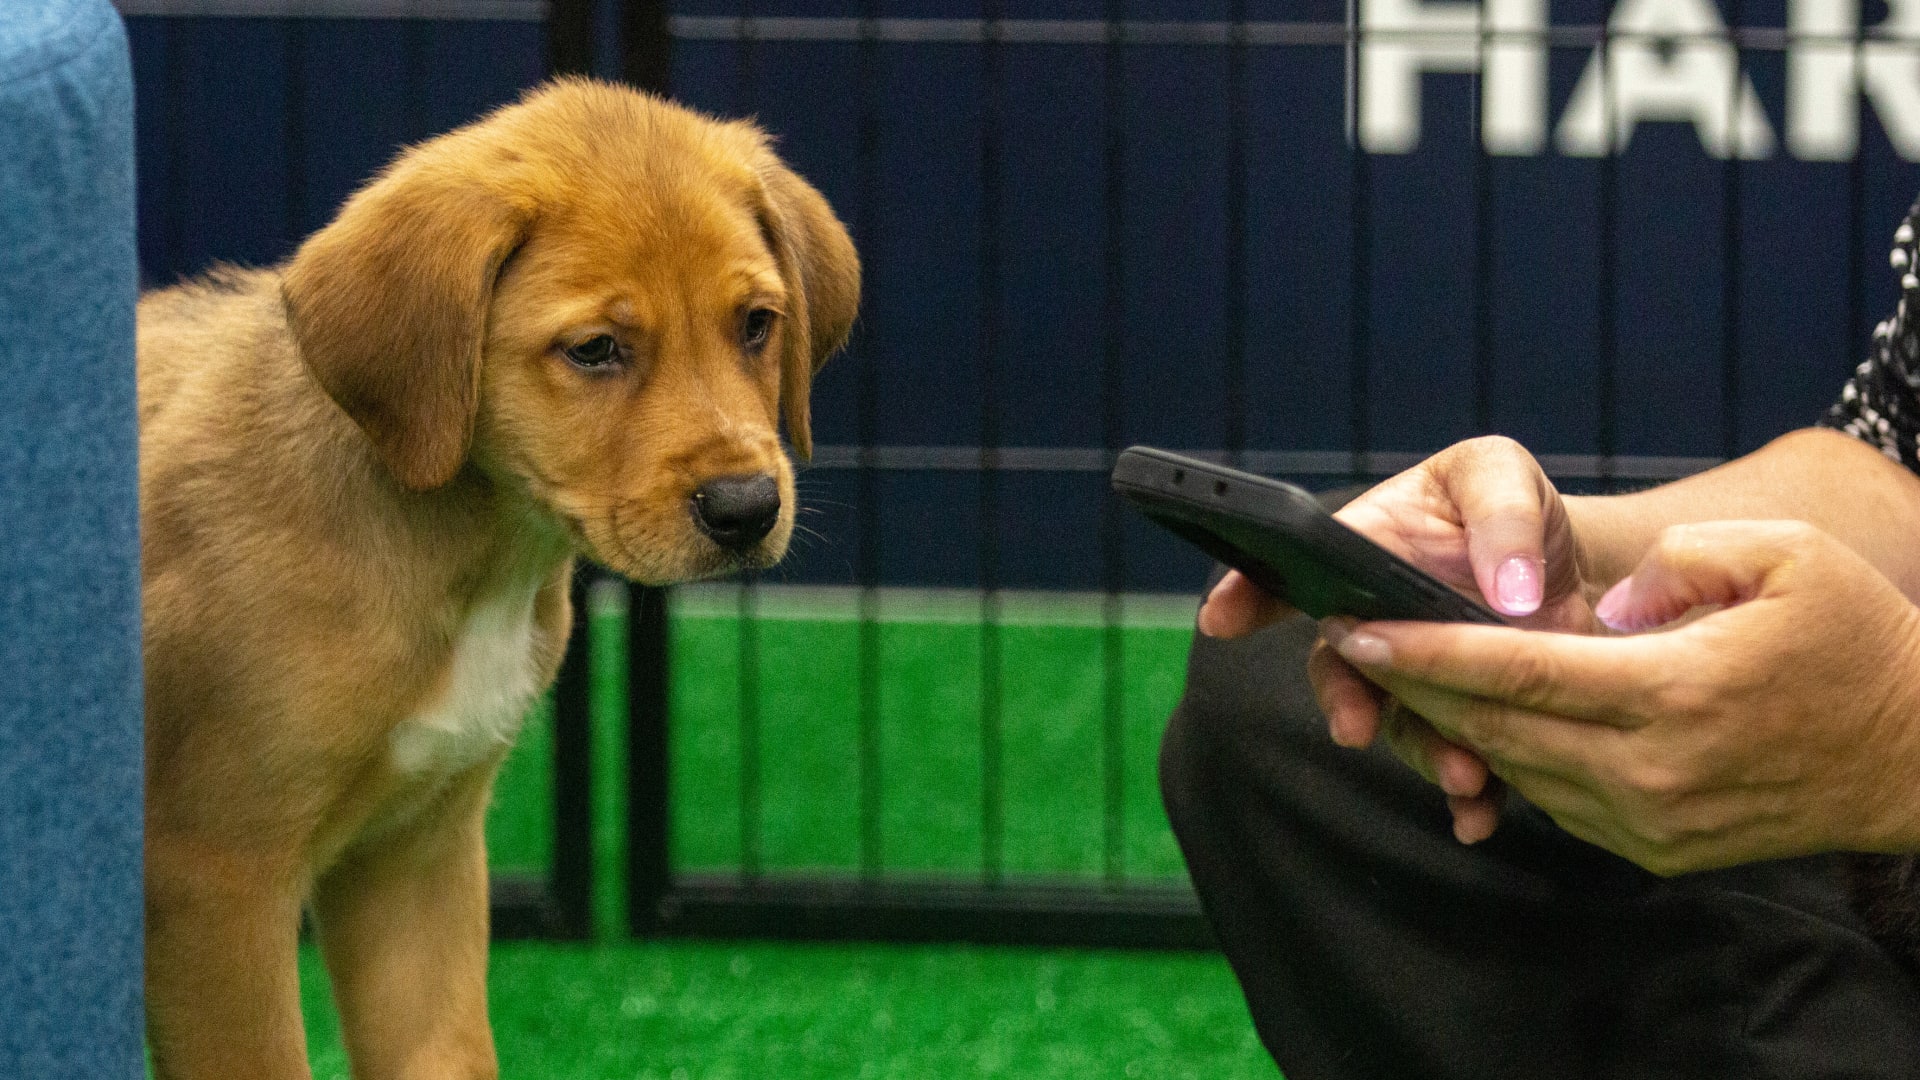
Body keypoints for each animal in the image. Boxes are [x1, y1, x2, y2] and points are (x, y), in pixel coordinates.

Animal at [145, 77, 867, 1076]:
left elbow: (449, 1054)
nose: (745, 509)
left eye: (757, 325)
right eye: (595, 349)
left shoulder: (416, 855)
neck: (479, 564)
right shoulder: (216, 878)